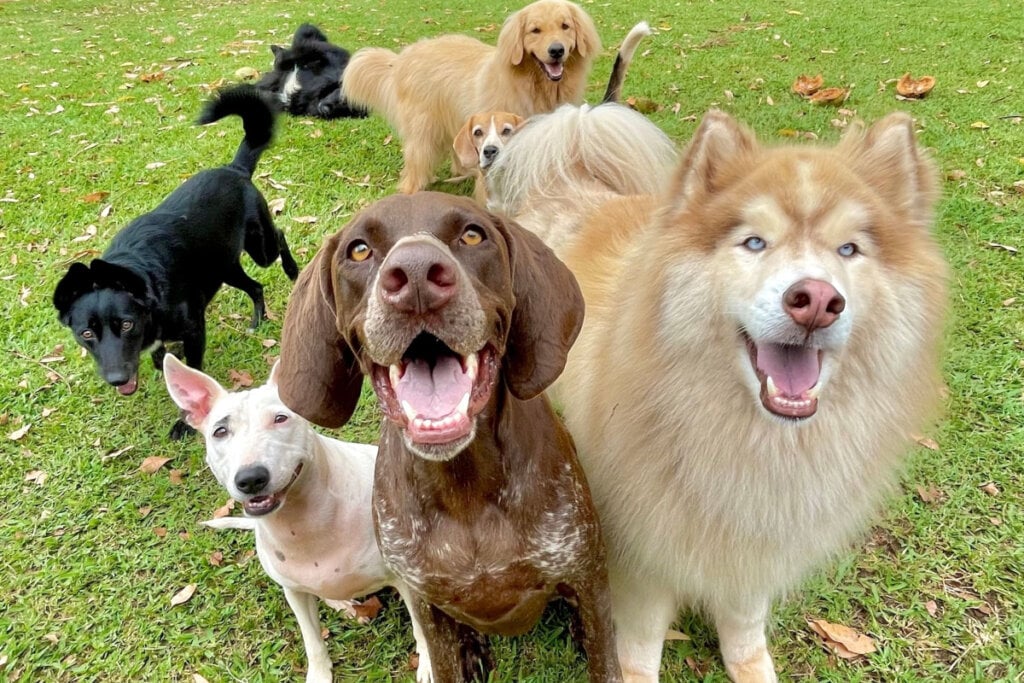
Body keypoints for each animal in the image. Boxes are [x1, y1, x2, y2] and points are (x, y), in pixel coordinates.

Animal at [54, 85, 299, 438]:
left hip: (259, 247)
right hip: (225, 267)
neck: (150, 289)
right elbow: (162, 357)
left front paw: (185, 422)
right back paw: (257, 320)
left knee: (278, 236)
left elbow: (191, 376)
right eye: (86, 333)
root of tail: (234, 169)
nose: (117, 379)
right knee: (255, 286)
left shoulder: (195, 329)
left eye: (126, 324)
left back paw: (293, 271)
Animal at [162, 356, 432, 679]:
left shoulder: (406, 580)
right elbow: (312, 640)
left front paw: (429, 666)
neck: (302, 523)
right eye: (220, 431)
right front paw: (320, 674)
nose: (251, 479)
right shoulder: (294, 592)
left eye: (281, 419)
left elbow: (422, 630)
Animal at [276, 189, 618, 679]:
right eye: (359, 250)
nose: (416, 276)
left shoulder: (587, 576)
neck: (465, 487)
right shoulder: (425, 604)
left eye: (472, 235)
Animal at [344, 0, 598, 193]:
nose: (557, 50)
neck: (532, 86)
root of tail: (402, 58)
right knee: (416, 166)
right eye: (535, 30)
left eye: (565, 26)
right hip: (425, 131)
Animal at [483, 109, 946, 679]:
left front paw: (751, 666)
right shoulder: (643, 551)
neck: (748, 435)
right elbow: (639, 640)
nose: (817, 301)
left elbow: (745, 624)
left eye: (849, 250)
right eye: (754, 243)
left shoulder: (753, 545)